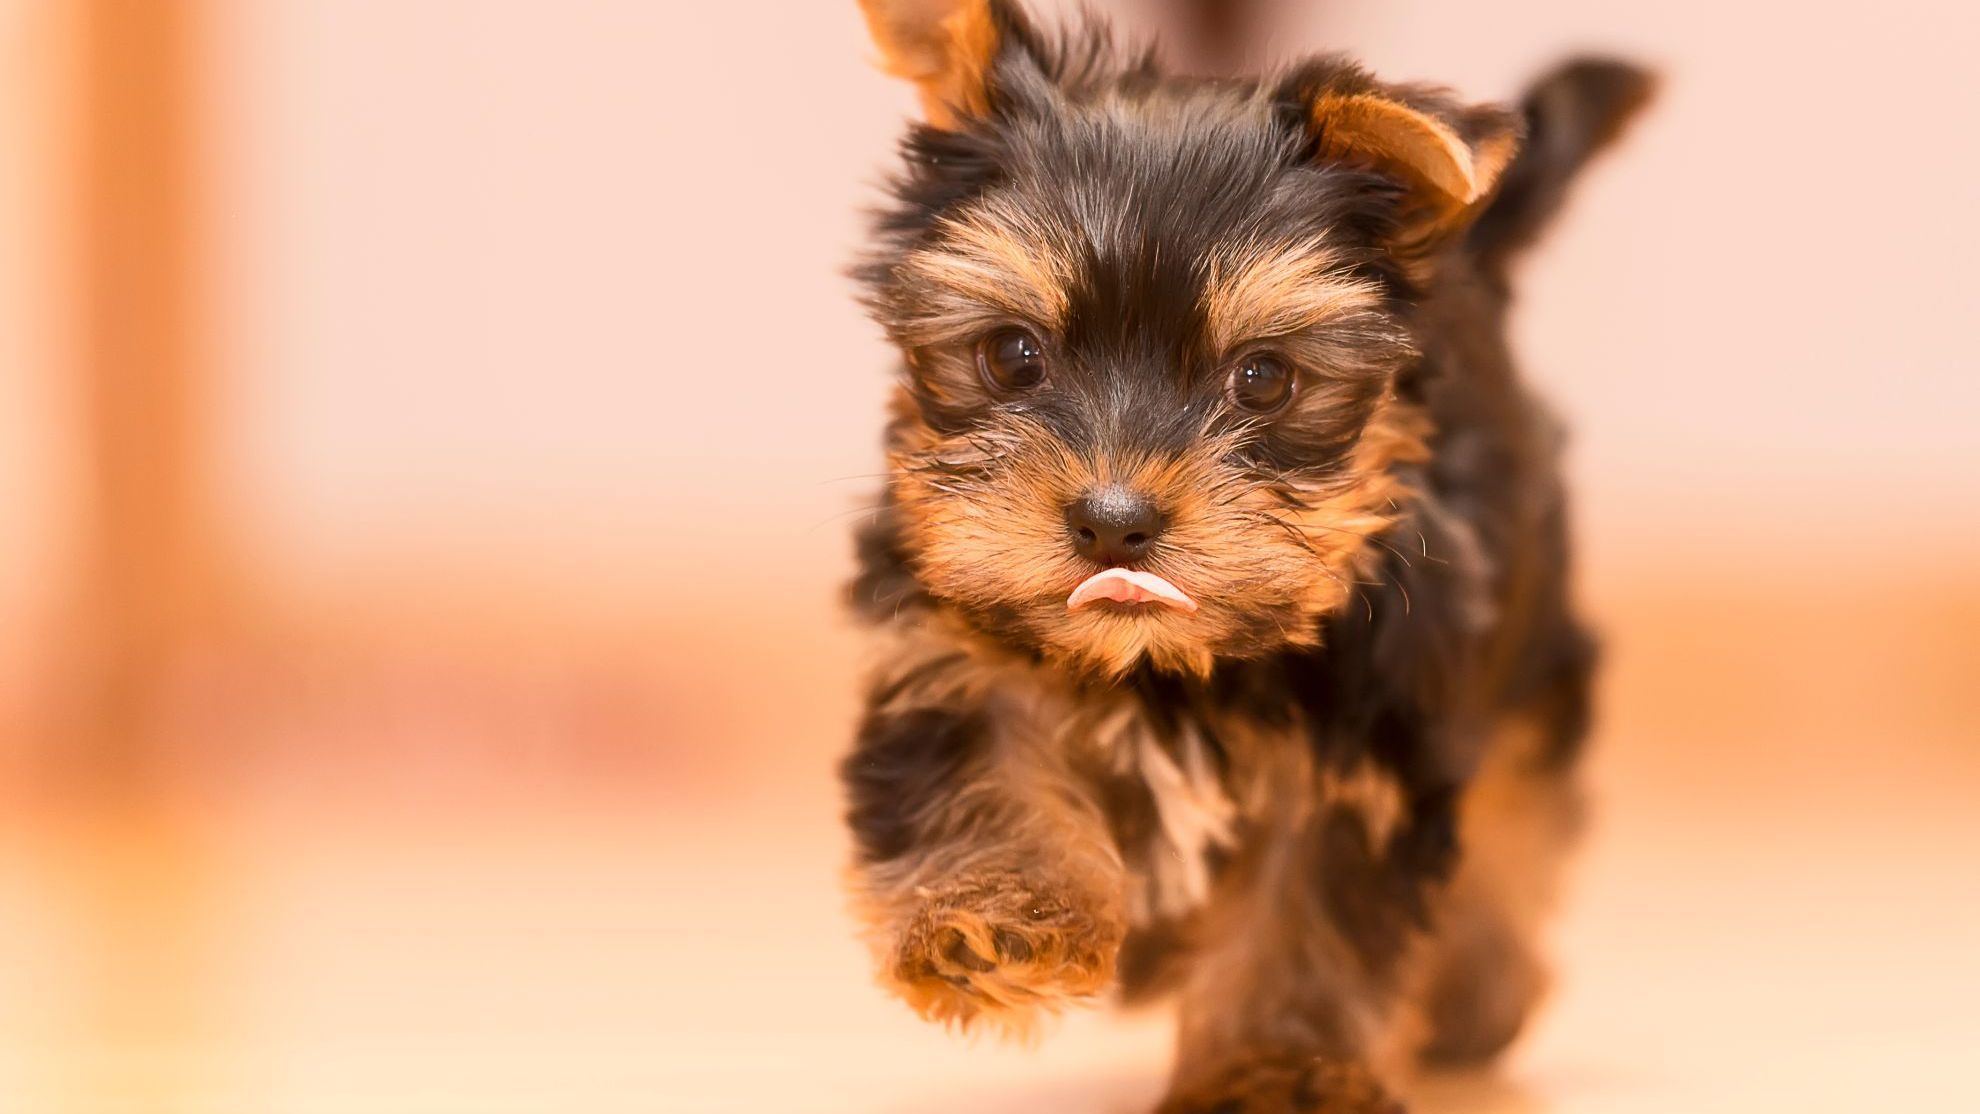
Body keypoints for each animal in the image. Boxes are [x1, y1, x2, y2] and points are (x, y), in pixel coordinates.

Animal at [839, 4, 1655, 1108]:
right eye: (1012, 355)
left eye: (1264, 379)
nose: (1113, 522)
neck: (1165, 663)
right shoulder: (951, 637)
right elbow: (980, 751)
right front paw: (994, 917)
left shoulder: (1363, 740)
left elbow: (1304, 910)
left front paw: (1279, 1065)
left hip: (1529, 636)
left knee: (1523, 796)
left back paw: (1478, 989)